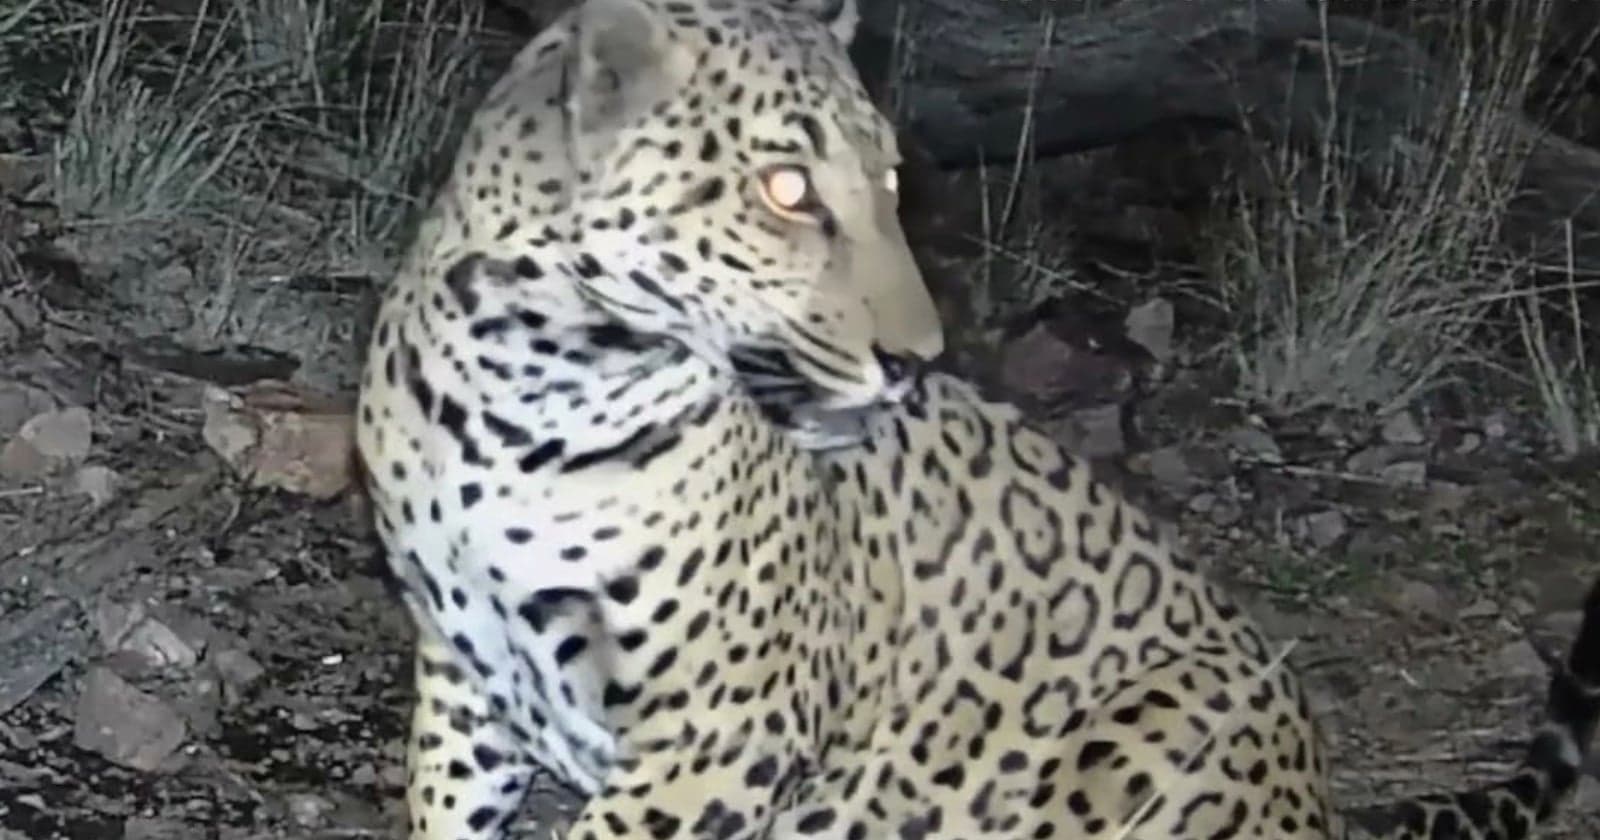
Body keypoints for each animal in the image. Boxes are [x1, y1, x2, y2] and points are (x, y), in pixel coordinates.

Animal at [352, 0, 1600, 838]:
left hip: (1154, 727)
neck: (521, 396)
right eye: (787, 191)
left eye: (892, 184)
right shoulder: (463, 675)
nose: (915, 363)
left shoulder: (724, 727)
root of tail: (1321, 801)